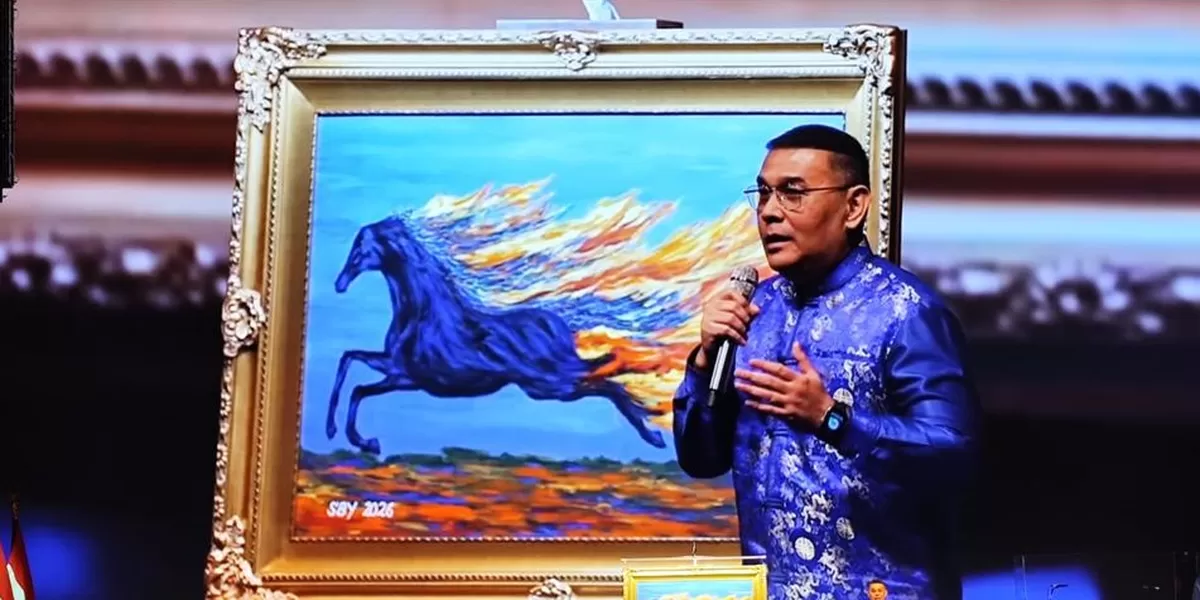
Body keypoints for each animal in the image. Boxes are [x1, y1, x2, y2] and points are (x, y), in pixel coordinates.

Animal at [325, 215, 667, 454]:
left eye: (360, 249)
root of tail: (557, 327)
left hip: (550, 384)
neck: (423, 314)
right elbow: (350, 364)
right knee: (607, 374)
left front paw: (358, 439)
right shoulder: (396, 370)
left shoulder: (405, 377)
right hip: (550, 383)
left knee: (606, 380)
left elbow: (356, 386)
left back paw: (653, 431)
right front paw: (347, 435)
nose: (339, 284)